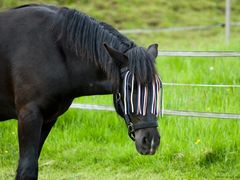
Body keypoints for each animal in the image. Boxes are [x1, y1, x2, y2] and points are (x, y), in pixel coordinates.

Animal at [0, 4, 163, 180]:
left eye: (158, 87)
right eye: (129, 87)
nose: (150, 141)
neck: (54, 50)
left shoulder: (48, 119)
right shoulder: (29, 116)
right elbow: (27, 170)